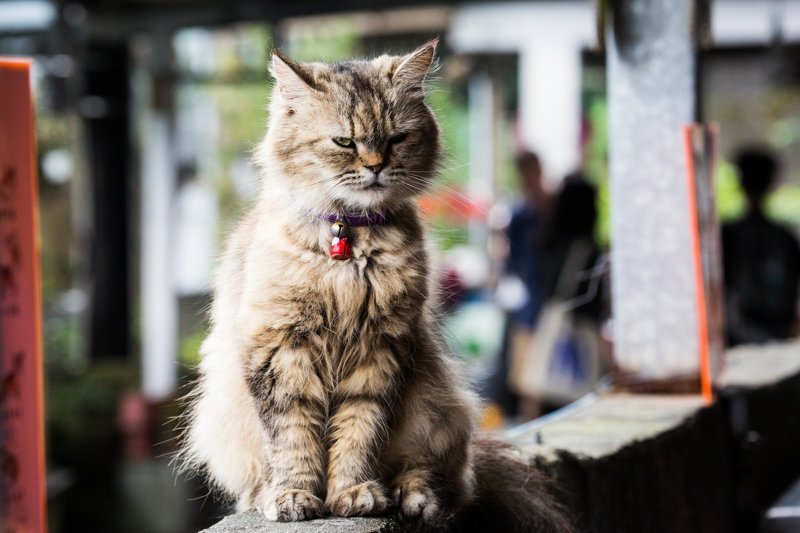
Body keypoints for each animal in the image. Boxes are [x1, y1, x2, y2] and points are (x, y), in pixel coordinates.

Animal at [181, 39, 572, 528]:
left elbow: (357, 434)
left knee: (439, 476)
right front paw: (294, 496)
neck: (348, 240)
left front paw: (352, 494)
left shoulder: (380, 349)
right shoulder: (282, 347)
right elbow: (293, 438)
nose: (376, 166)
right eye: (344, 141)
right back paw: (262, 495)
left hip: (437, 410)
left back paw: (413, 497)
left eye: (396, 139)